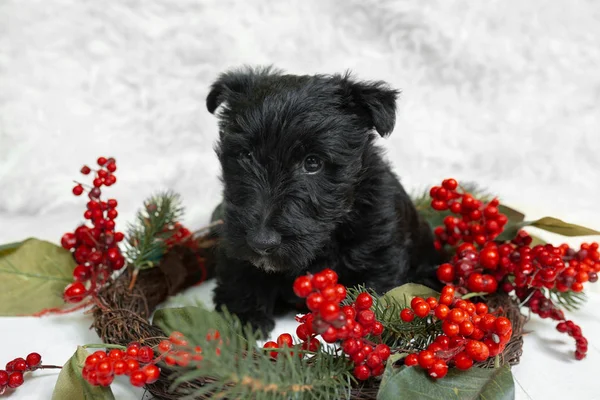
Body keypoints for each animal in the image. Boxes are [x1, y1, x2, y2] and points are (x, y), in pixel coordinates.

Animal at [206, 66, 440, 334]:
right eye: (246, 156)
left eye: (312, 162)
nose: (261, 242)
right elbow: (240, 273)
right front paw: (241, 318)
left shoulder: (379, 252)